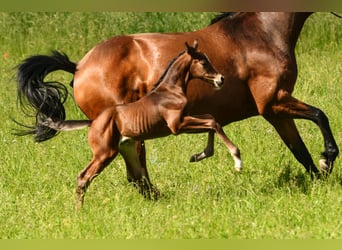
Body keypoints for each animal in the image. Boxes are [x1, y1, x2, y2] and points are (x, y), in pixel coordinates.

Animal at [16, 12, 340, 201]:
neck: (262, 31)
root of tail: (79, 66)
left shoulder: (275, 110)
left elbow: (299, 149)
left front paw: (319, 178)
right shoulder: (274, 103)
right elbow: (320, 116)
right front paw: (327, 160)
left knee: (135, 174)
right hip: (127, 135)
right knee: (135, 173)